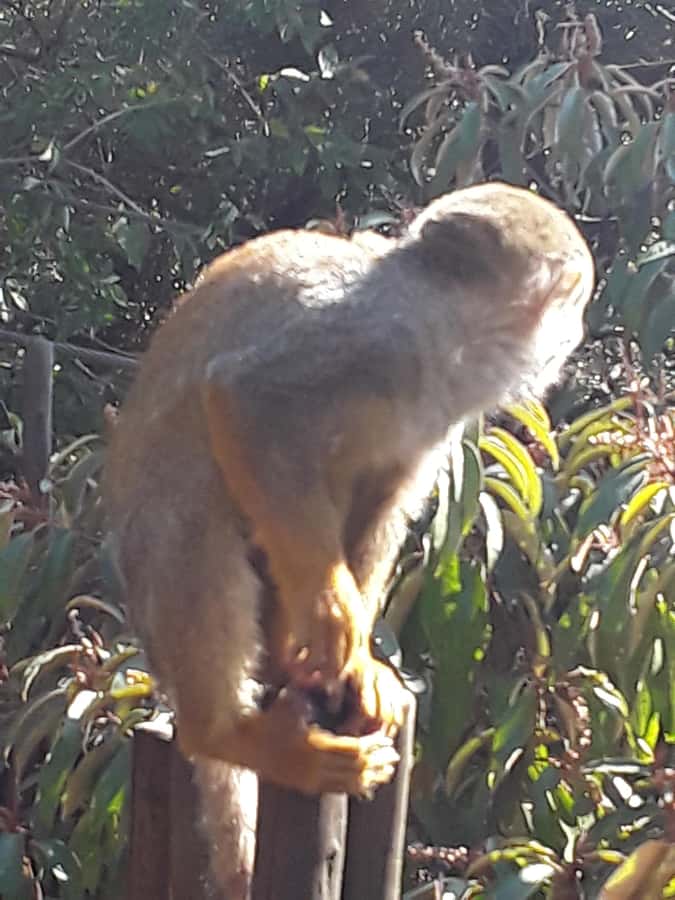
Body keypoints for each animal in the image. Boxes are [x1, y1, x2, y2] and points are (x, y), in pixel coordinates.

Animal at [103, 181, 594, 896]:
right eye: (574, 304)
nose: (576, 334)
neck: (450, 335)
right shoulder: (378, 338)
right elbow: (248, 401)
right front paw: (335, 617)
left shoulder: (441, 410)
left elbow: (386, 495)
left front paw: (360, 661)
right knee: (194, 515)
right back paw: (226, 733)